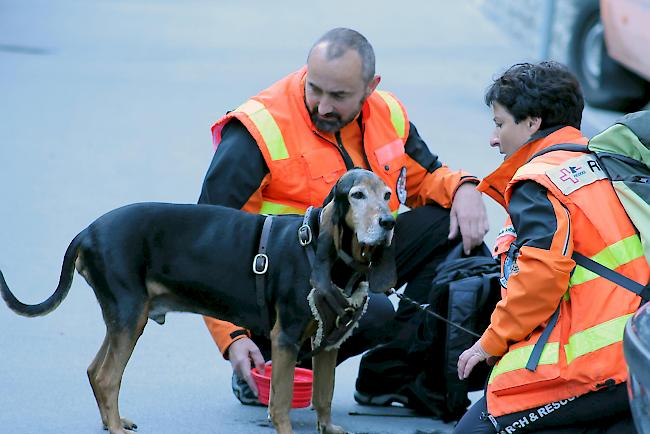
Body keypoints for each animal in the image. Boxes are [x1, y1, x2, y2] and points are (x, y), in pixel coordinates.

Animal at [0, 169, 394, 434]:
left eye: (389, 195)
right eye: (357, 195)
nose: (388, 222)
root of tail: (87, 231)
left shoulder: (329, 342)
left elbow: (323, 395)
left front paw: (329, 428)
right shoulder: (285, 339)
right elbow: (280, 402)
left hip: (123, 320)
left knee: (94, 371)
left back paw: (111, 421)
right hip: (130, 317)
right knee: (106, 376)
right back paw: (113, 427)